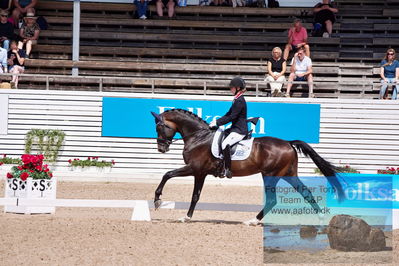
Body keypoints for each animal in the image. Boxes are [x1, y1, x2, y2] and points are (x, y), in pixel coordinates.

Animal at [152, 108, 346, 224]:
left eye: (159, 128)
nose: (161, 148)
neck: (198, 137)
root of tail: (288, 143)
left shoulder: (195, 169)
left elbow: (169, 176)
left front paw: (159, 201)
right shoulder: (200, 173)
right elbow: (192, 193)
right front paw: (184, 215)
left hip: (270, 175)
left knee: (273, 200)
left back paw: (253, 220)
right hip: (288, 174)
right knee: (306, 193)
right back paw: (320, 218)